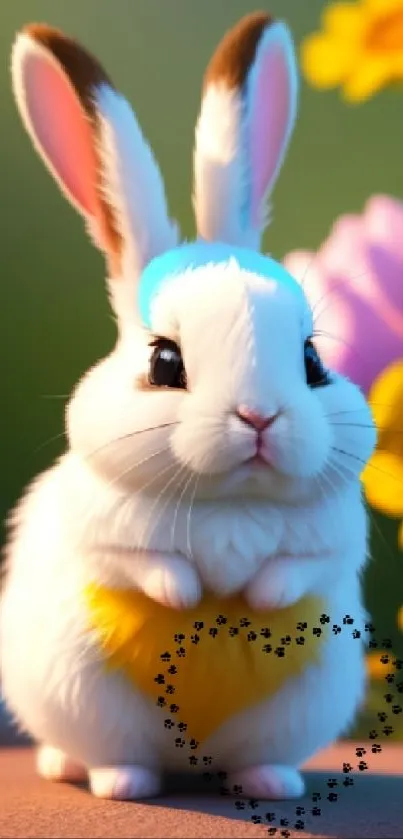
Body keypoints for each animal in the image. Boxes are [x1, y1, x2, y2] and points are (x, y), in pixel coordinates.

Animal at [0, 13, 378, 800]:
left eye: (312, 361)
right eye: (163, 362)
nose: (258, 416)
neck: (230, 501)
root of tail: (189, 760)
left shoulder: (330, 541)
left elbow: (296, 568)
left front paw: (258, 596)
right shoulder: (104, 531)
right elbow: (145, 564)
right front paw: (184, 594)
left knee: (254, 758)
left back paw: (270, 783)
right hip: (88, 704)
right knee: (115, 756)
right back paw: (113, 780)